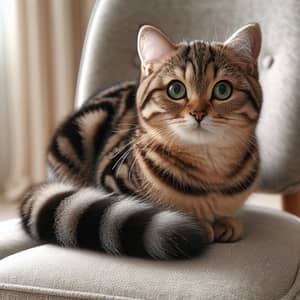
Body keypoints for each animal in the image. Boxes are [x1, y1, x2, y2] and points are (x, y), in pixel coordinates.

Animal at [19, 23, 262, 258]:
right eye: (176, 89)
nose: (199, 113)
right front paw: (200, 224)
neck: (210, 176)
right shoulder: (112, 179)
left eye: (223, 89)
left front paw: (225, 222)